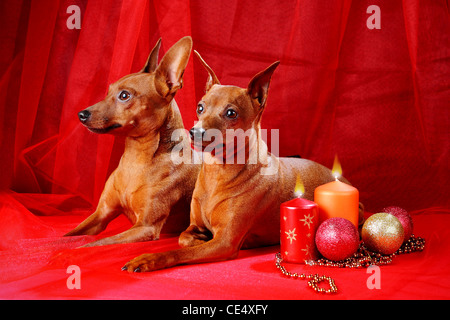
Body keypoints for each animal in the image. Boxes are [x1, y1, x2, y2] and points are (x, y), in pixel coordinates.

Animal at [64, 37, 200, 248]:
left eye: (124, 96)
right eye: (108, 91)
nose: (81, 114)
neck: (135, 159)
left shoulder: (145, 227)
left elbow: (94, 244)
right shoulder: (100, 215)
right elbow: (69, 235)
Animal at [121, 52, 364, 272]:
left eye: (231, 113)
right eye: (200, 107)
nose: (195, 132)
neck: (218, 173)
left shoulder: (224, 243)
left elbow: (178, 251)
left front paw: (147, 259)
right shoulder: (194, 226)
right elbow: (184, 238)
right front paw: (197, 238)